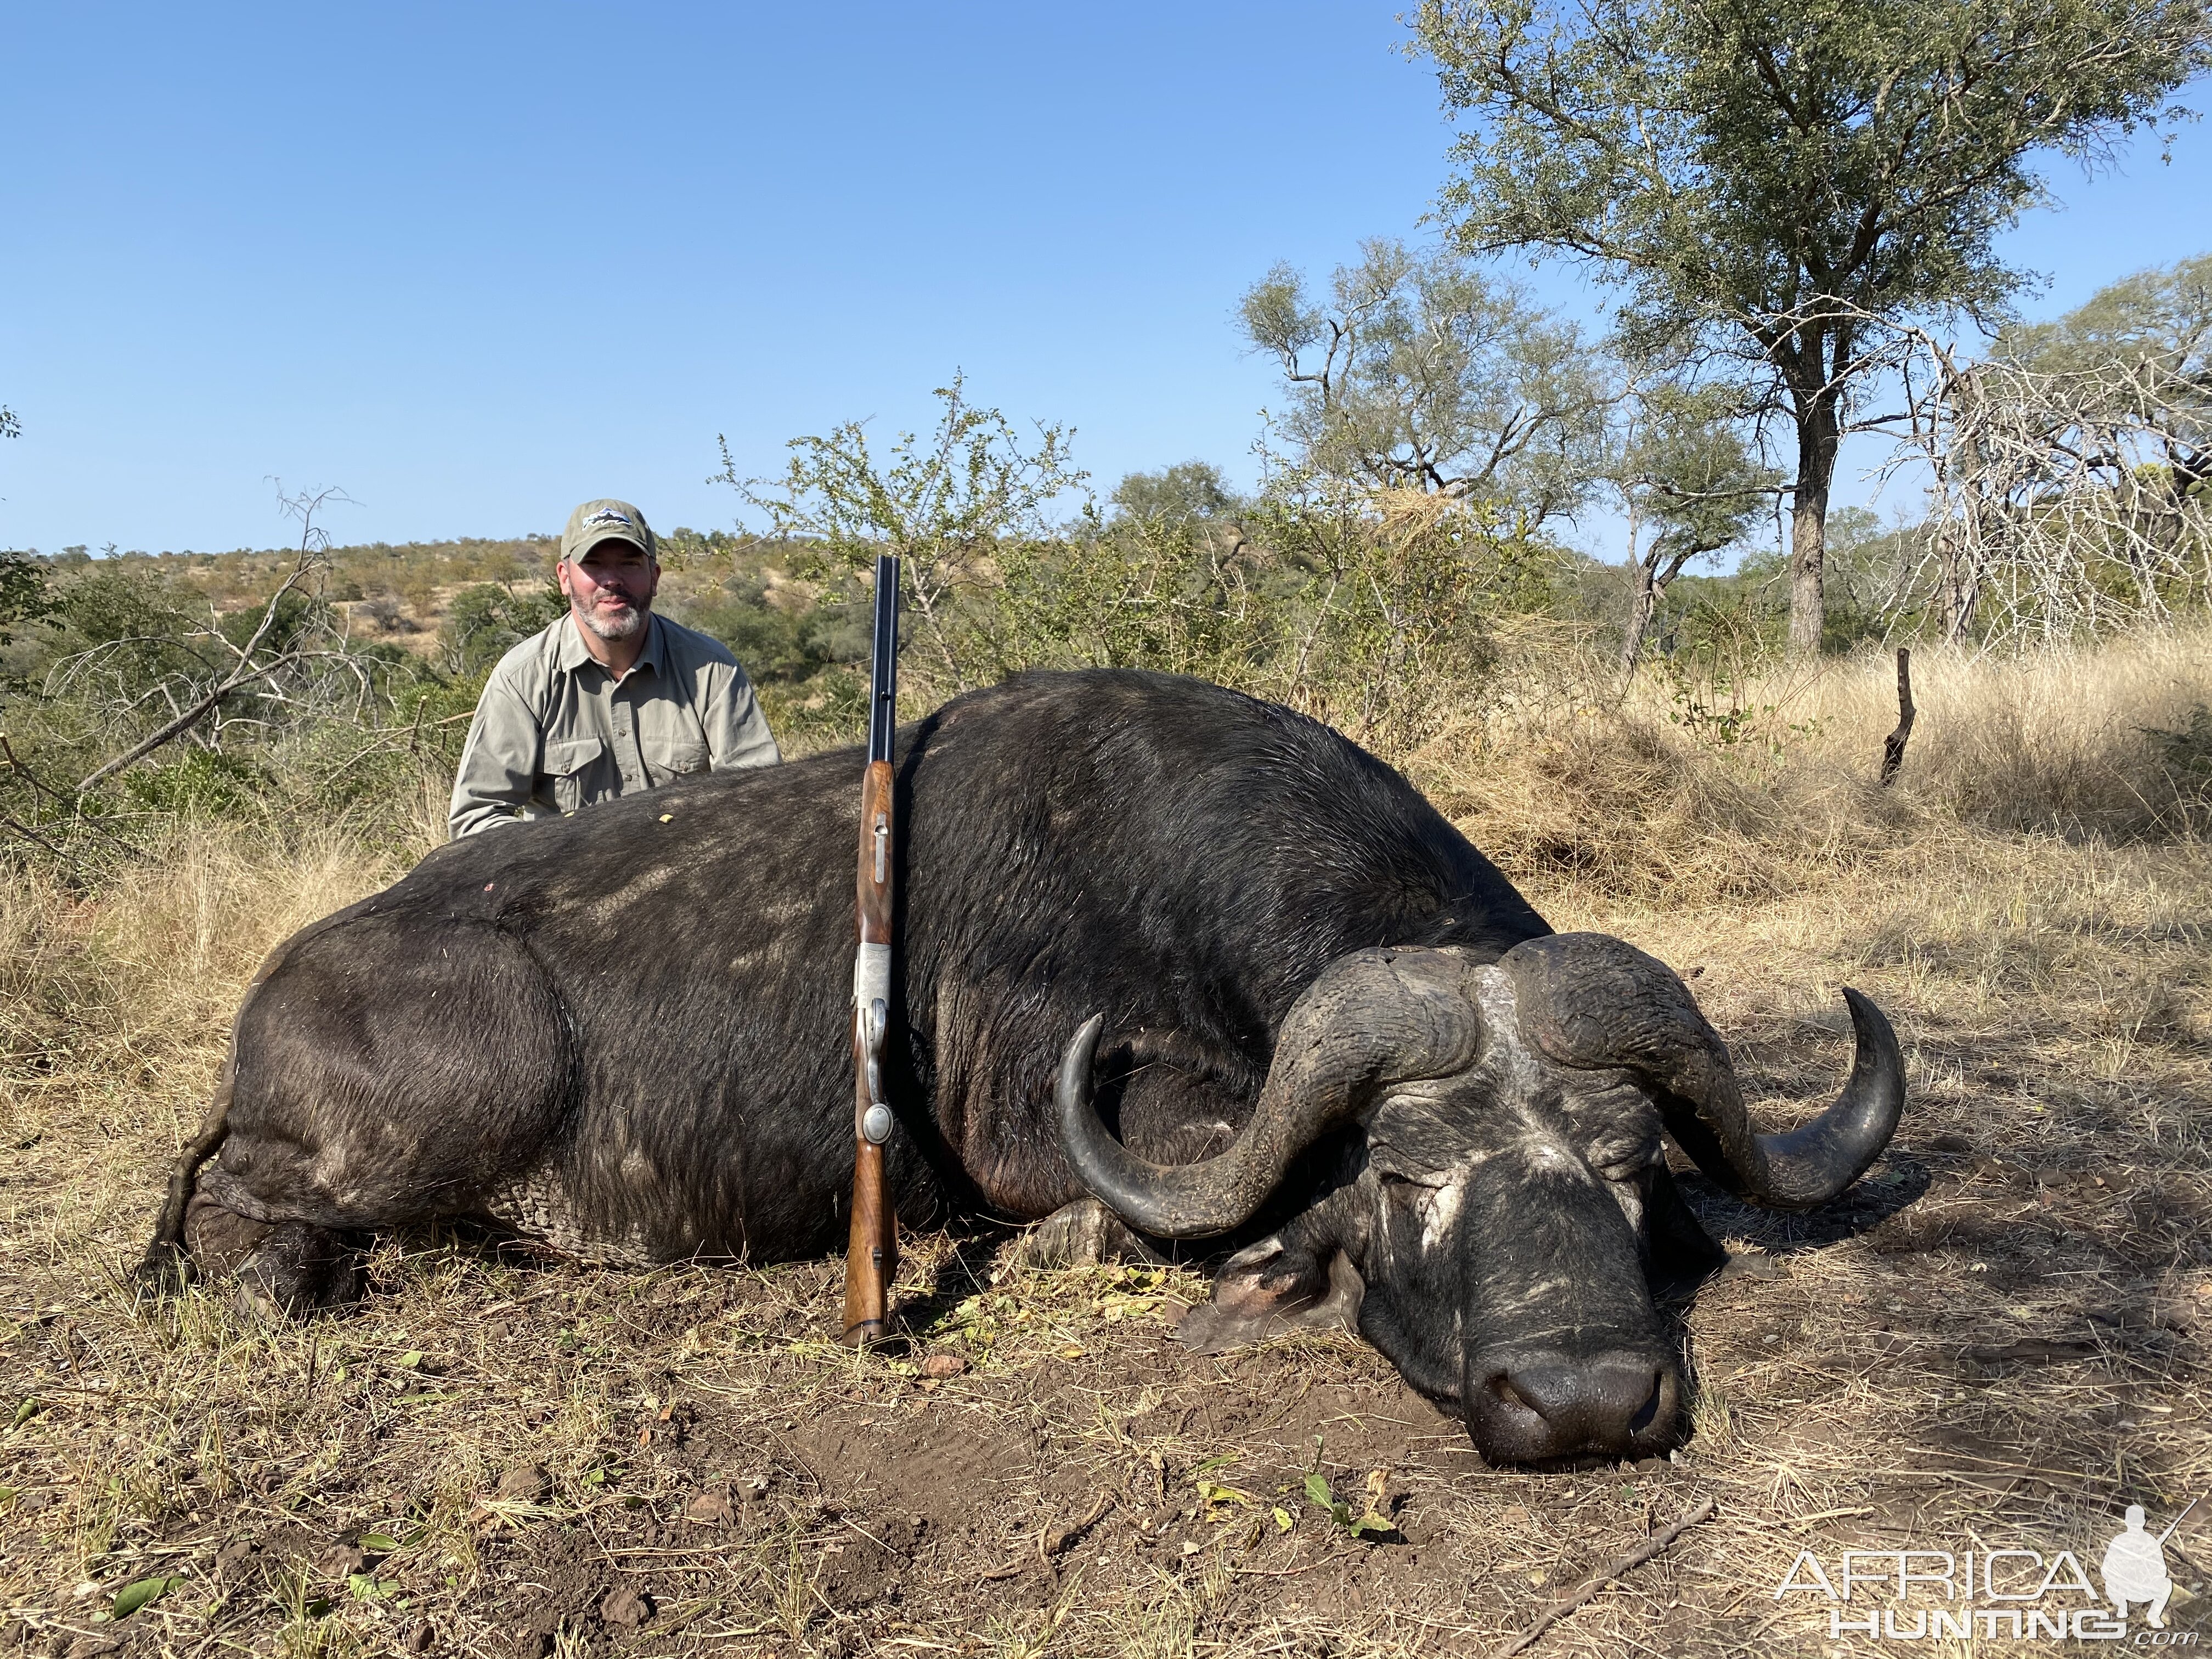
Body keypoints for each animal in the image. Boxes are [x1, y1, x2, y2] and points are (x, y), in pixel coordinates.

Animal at [143, 668, 1902, 1460]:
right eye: (1409, 1176)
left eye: (1631, 1164)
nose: (1587, 1400)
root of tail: (278, 992)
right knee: (247, 1214)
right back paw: (286, 1277)